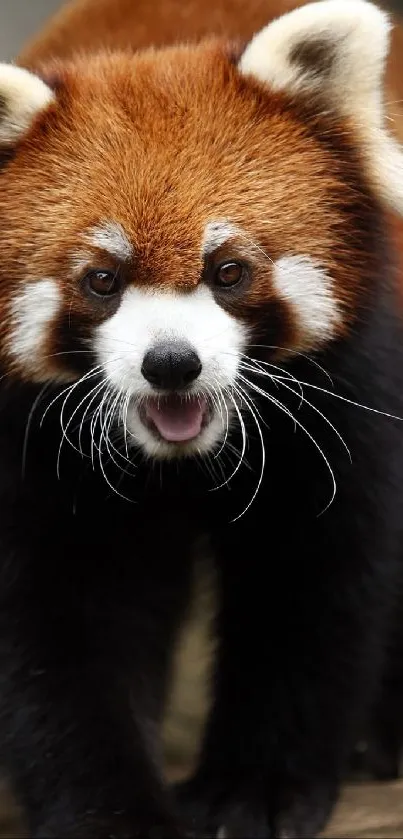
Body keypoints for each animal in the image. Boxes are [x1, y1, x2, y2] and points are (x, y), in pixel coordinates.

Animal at [0, 0, 400, 836]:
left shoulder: (348, 381)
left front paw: (252, 787)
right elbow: (63, 620)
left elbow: (311, 581)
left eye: (228, 271)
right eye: (102, 279)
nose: (171, 363)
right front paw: (110, 810)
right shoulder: (30, 445)